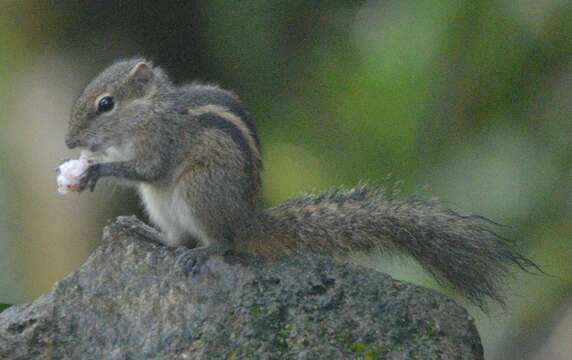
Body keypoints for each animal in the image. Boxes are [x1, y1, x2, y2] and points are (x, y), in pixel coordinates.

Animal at [65, 57, 540, 308]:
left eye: (106, 104)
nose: (70, 141)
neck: (150, 111)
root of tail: (249, 219)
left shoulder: (162, 144)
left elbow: (145, 169)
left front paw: (97, 169)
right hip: (162, 206)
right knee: (176, 238)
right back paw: (144, 232)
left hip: (200, 192)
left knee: (222, 242)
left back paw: (206, 250)